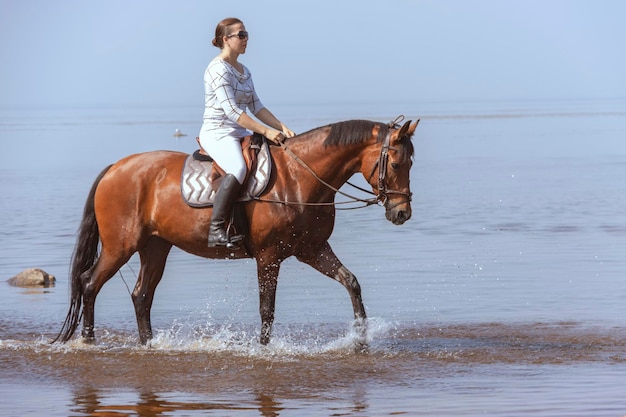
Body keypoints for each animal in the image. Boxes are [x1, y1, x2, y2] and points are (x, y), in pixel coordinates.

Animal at [53, 116, 414, 344]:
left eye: (411, 163)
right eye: (397, 164)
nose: (402, 213)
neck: (299, 178)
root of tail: (115, 168)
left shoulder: (312, 250)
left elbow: (351, 282)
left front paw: (361, 336)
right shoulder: (269, 257)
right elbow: (267, 310)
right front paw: (264, 349)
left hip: (155, 247)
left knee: (141, 295)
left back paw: (148, 345)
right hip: (120, 245)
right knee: (89, 283)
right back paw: (89, 342)